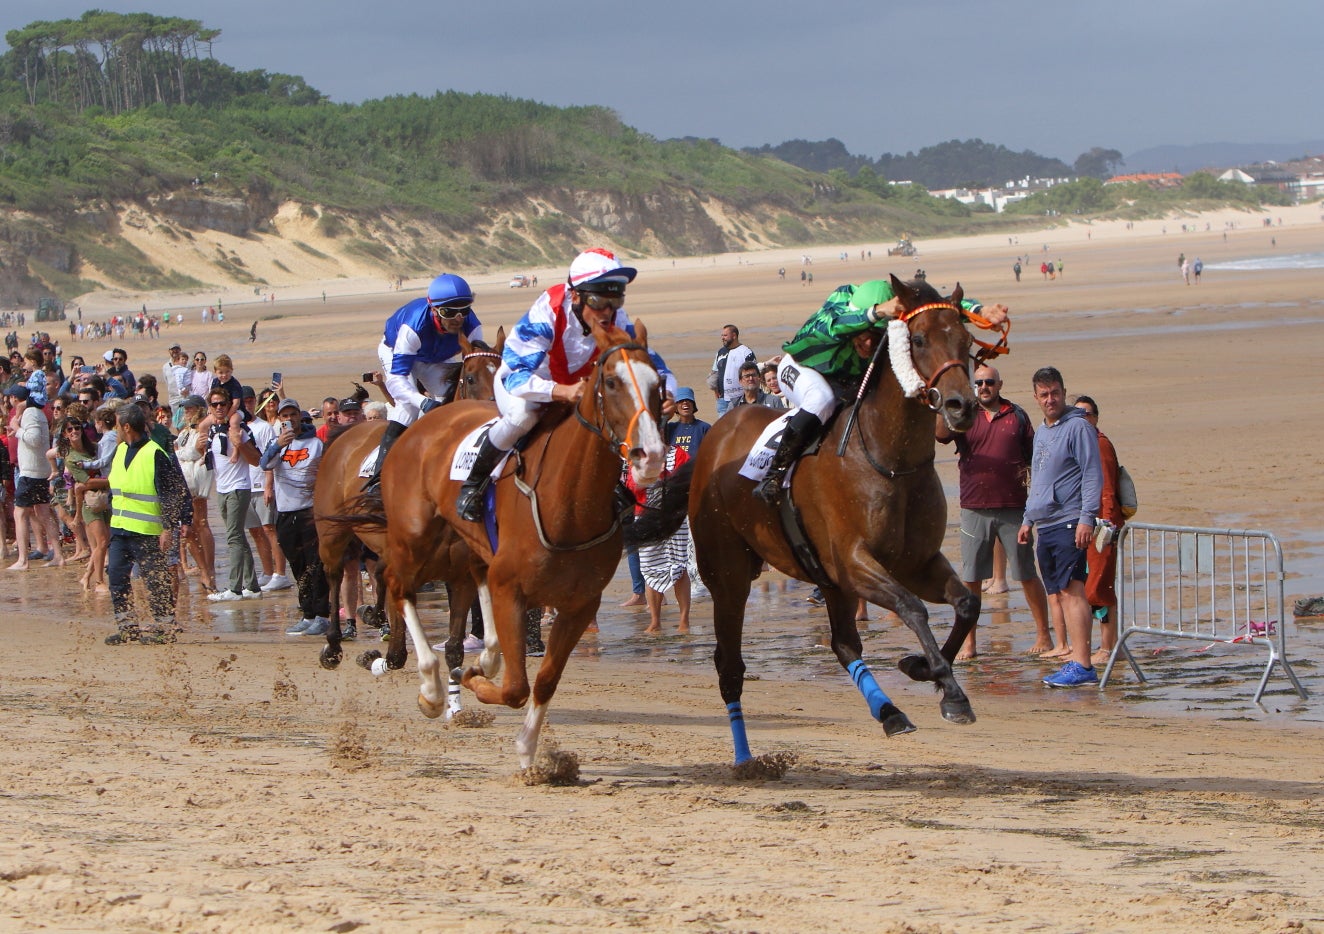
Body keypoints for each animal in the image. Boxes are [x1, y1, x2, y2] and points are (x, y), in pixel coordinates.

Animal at [312, 328, 503, 670]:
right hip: (332, 532)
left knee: (374, 573)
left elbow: (453, 648)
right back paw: (333, 643)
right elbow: (397, 654)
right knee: (333, 574)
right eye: (470, 378)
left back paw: (372, 616)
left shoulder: (462, 570)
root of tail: (344, 434)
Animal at [378, 316, 667, 768]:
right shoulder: (509, 587)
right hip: (413, 539)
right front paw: (474, 681)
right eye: (611, 381)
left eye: (659, 383)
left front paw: (528, 753)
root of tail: (424, 423)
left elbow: (544, 679)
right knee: (397, 585)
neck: (569, 502)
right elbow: (515, 687)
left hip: (465, 547)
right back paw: (431, 690)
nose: (650, 455)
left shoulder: (580, 604)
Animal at [688, 272, 995, 763]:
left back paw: (890, 713)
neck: (888, 459)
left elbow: (967, 603)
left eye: (966, 341)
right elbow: (912, 608)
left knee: (843, 642)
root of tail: (718, 434)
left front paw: (919, 667)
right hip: (729, 573)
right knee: (729, 663)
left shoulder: (915, 561)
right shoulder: (854, 561)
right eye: (919, 339)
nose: (961, 407)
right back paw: (744, 757)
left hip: (826, 578)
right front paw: (952, 693)